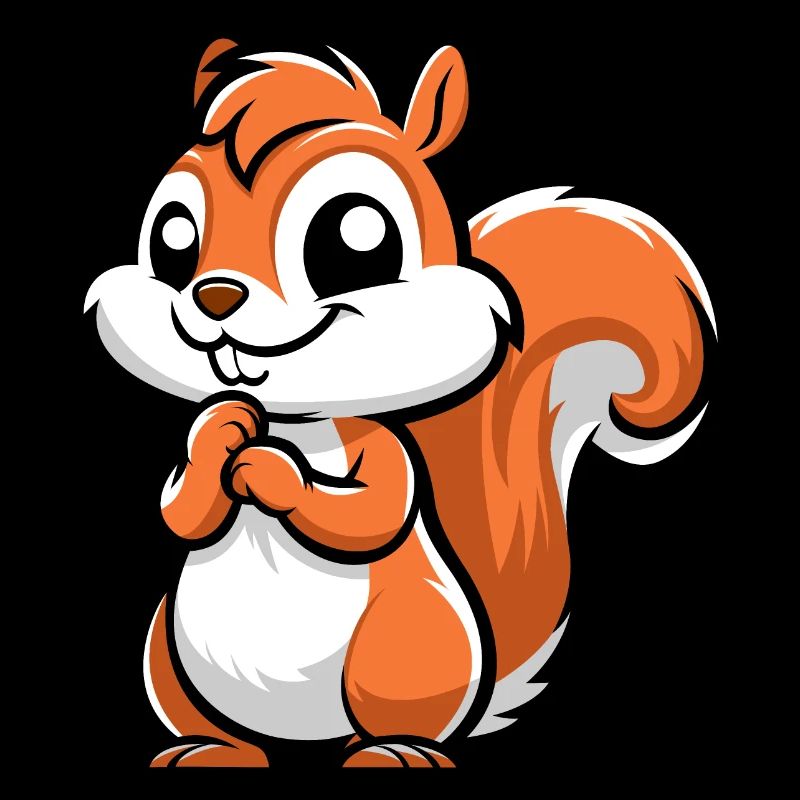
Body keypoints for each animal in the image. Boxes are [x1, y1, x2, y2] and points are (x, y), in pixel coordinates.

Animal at [85, 40, 714, 768]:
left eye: (354, 239)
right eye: (173, 240)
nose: (214, 296)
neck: (294, 419)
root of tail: (308, 736)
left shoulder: (383, 450)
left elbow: (367, 513)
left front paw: (266, 469)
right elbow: (180, 508)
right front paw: (226, 433)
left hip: (399, 645)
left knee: (394, 718)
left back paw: (395, 752)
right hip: (166, 648)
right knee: (214, 722)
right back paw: (210, 749)